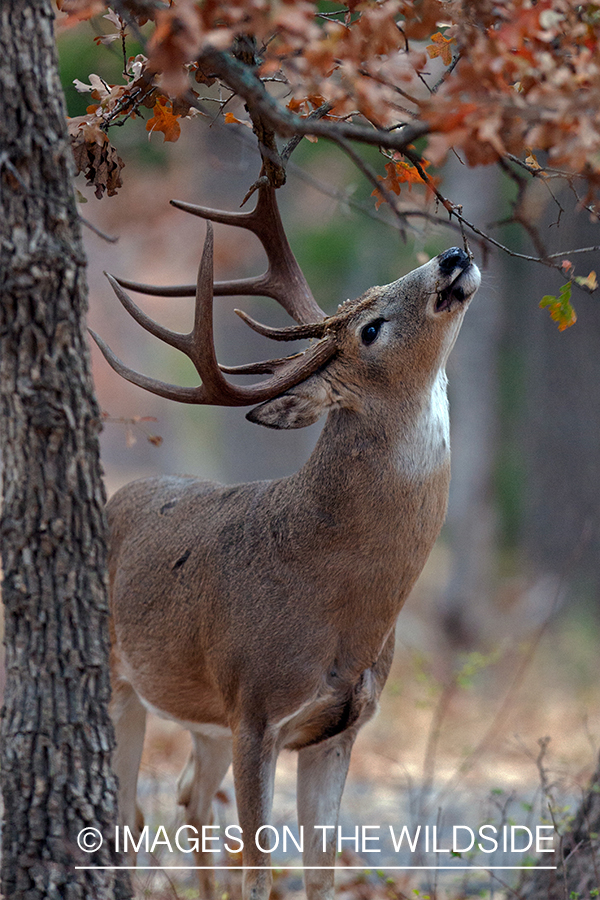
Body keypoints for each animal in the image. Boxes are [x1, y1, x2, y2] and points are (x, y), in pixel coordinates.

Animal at [90, 183, 482, 900]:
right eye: (370, 327)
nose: (451, 255)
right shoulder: (255, 708)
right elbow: (259, 872)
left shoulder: (337, 729)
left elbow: (318, 873)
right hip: (122, 680)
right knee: (128, 811)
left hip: (203, 713)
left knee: (184, 797)